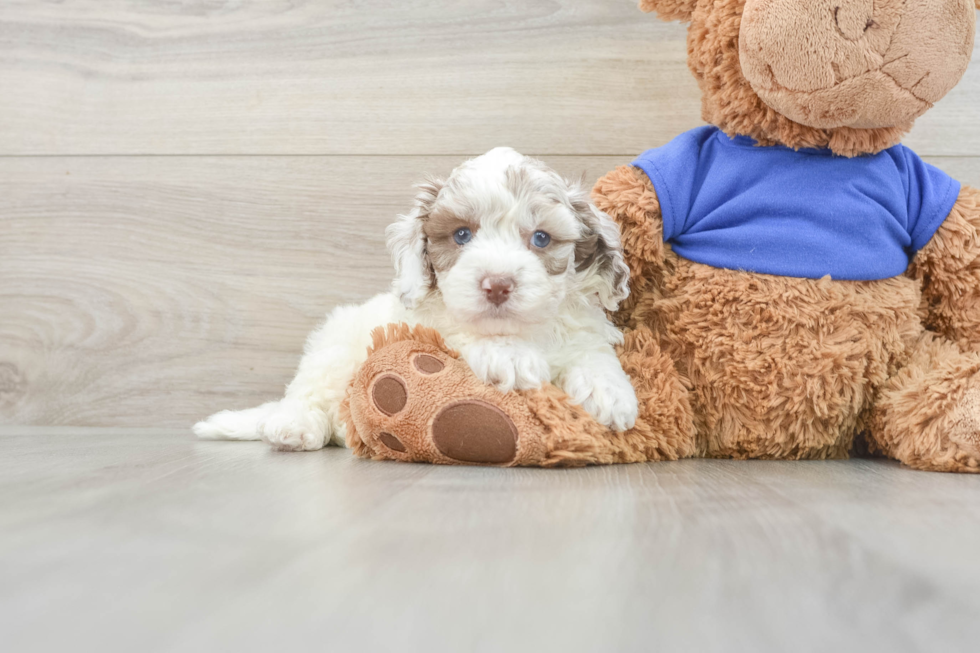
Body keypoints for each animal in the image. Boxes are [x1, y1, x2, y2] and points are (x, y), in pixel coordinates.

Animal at [192, 148, 640, 450]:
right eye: (462, 234)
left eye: (542, 238)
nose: (497, 284)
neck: (522, 329)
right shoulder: (427, 323)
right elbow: (461, 329)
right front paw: (509, 355)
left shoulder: (580, 326)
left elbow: (591, 351)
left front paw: (610, 392)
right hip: (333, 348)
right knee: (306, 393)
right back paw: (294, 426)